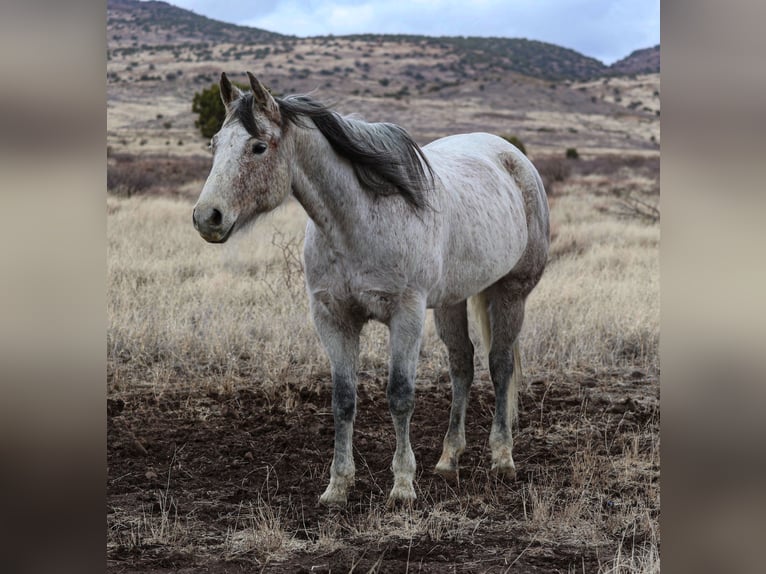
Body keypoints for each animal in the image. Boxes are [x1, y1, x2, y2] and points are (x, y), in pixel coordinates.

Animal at [194, 73, 552, 508]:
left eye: (258, 146)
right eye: (214, 144)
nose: (207, 217)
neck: (359, 221)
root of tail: (512, 156)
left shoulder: (406, 316)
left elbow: (400, 395)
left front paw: (402, 486)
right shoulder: (333, 318)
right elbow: (343, 400)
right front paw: (337, 486)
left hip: (511, 293)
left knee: (500, 365)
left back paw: (502, 458)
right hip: (451, 301)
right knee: (462, 366)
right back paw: (449, 459)